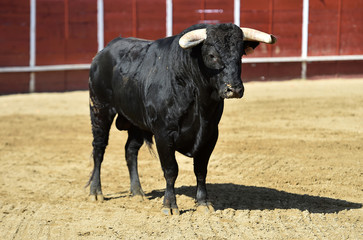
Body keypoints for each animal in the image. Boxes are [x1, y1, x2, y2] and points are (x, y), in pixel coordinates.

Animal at [88, 23, 276, 216]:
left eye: (240, 55)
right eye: (212, 55)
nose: (235, 89)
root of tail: (104, 51)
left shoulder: (210, 135)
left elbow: (201, 170)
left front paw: (203, 203)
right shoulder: (163, 134)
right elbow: (171, 169)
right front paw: (170, 205)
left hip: (136, 121)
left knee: (130, 150)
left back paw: (137, 192)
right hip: (100, 109)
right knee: (99, 148)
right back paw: (96, 192)